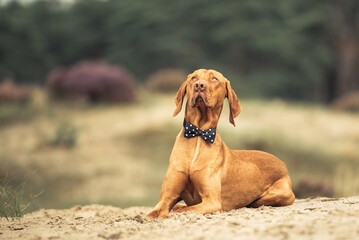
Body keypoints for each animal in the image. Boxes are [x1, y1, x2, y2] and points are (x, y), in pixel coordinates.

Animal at [147, 69, 296, 218]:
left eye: (214, 79)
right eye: (194, 78)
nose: (199, 85)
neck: (198, 134)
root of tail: (283, 164)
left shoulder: (211, 201)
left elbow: (183, 211)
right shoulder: (167, 197)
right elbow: (154, 212)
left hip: (277, 194)